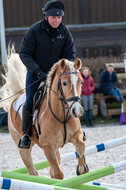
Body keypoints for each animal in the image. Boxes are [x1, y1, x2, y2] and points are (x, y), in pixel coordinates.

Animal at [0, 47, 88, 180]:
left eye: (81, 82)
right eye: (64, 83)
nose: (77, 110)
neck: (61, 116)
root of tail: (15, 98)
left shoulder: (75, 135)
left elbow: (81, 146)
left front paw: (82, 168)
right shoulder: (48, 147)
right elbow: (58, 173)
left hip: (56, 149)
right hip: (24, 149)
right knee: (33, 173)